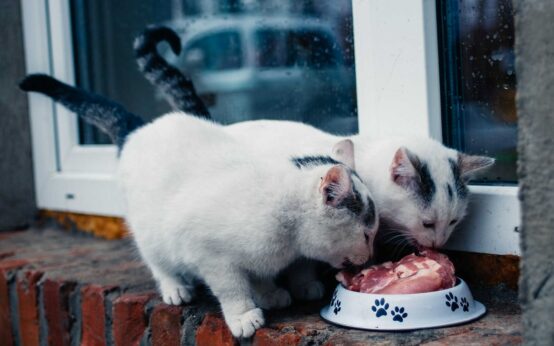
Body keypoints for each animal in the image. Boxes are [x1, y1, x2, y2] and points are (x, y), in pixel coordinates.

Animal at [19, 75, 378, 338]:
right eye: (366, 234)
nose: (371, 255)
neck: (286, 236)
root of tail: (140, 128)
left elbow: (259, 271)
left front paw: (268, 292)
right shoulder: (211, 254)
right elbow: (231, 286)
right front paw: (243, 315)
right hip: (150, 232)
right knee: (156, 260)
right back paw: (175, 287)